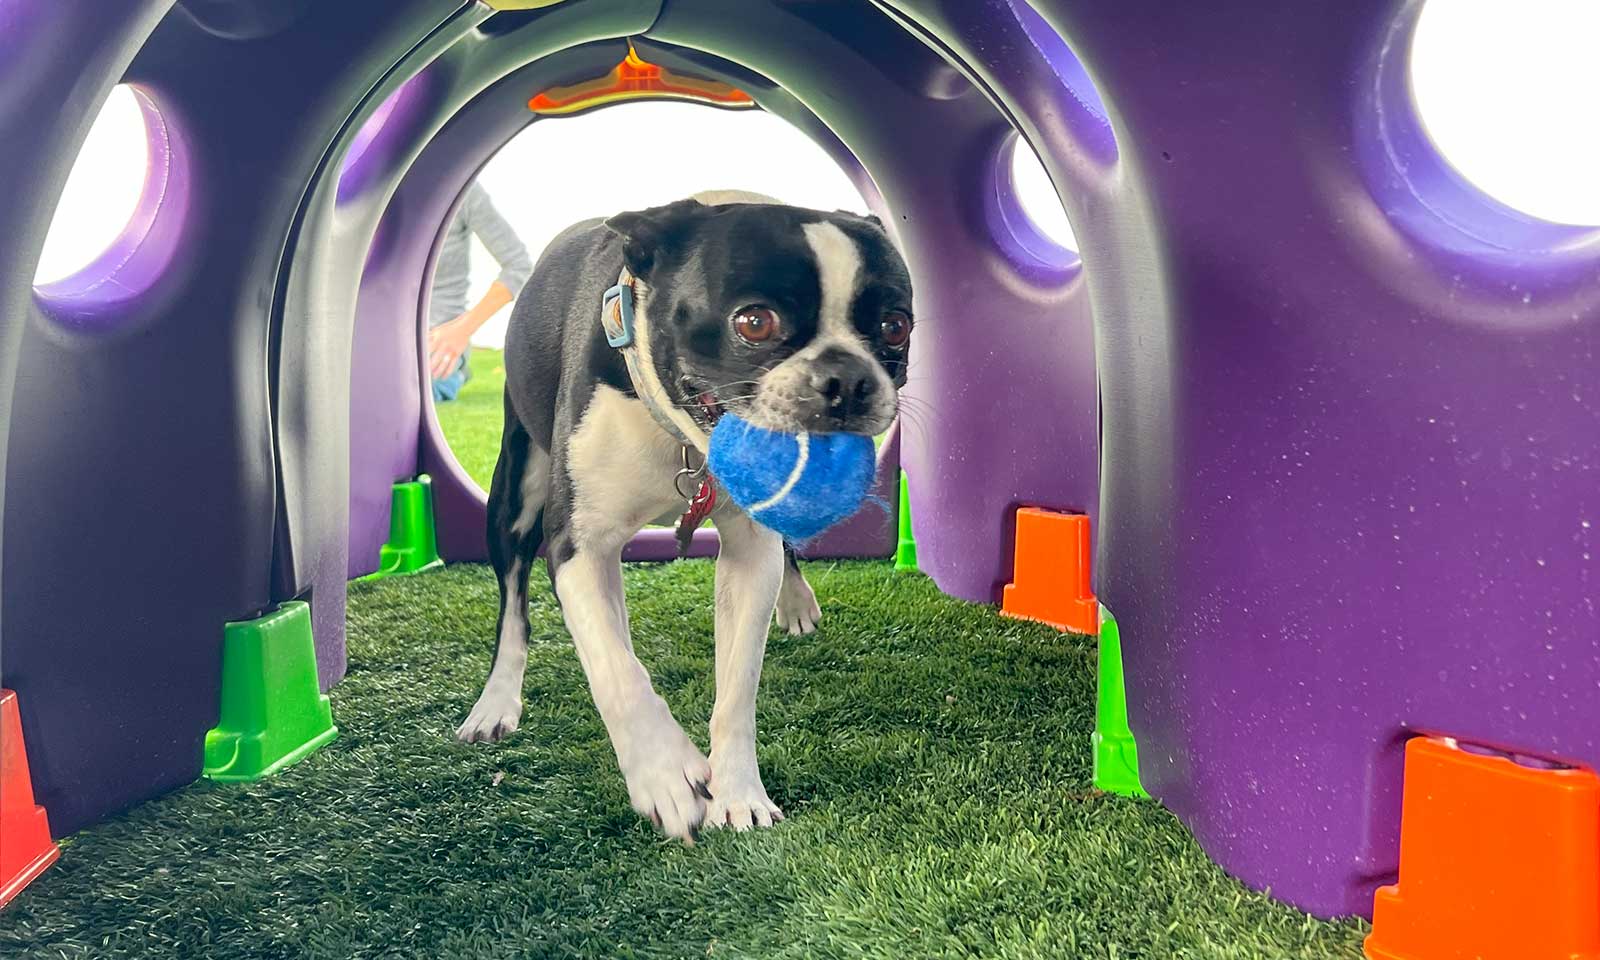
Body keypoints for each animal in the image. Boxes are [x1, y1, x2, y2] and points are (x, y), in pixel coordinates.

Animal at [457, 189, 921, 838]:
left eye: (894, 326)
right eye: (754, 322)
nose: (848, 379)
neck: (685, 440)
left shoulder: (750, 552)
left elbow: (736, 690)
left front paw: (739, 794)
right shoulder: (578, 547)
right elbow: (616, 672)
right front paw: (665, 777)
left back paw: (795, 600)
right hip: (514, 498)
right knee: (515, 611)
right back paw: (496, 703)